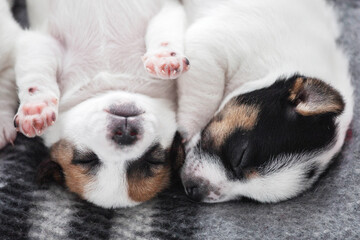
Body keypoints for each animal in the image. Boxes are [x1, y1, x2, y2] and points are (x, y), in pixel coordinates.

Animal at [179, 0, 352, 203]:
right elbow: (206, 93)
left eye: (248, 198)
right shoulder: (210, 47)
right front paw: (188, 129)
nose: (193, 190)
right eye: (240, 155)